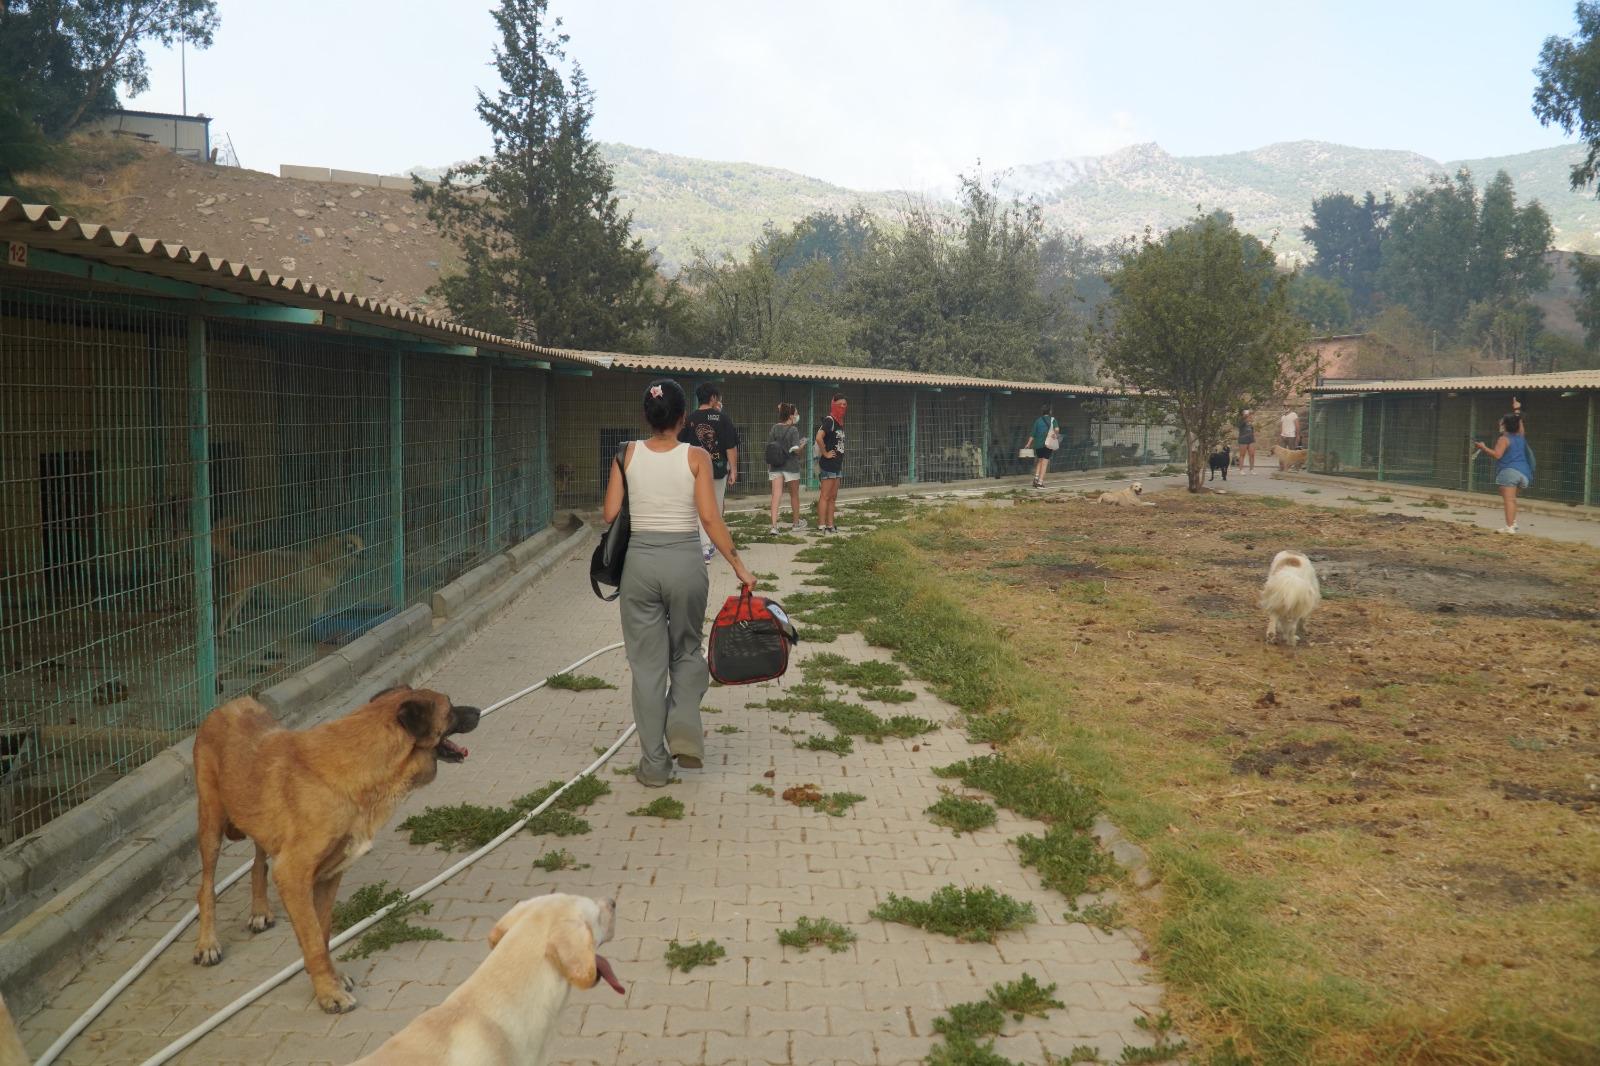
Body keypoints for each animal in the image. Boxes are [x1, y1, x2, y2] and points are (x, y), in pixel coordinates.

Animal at [194, 685, 480, 1011]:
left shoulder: (328, 875)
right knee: (206, 888)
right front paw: (328, 993)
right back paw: (208, 943)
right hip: (211, 823)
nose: (478, 712)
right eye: (450, 707)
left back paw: (260, 910)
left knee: (258, 862)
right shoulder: (293, 875)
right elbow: (314, 942)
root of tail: (227, 706)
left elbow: (322, 933)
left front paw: (329, 979)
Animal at [209, 515, 363, 630]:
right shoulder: (315, 597)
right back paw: (221, 634)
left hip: (246, 594)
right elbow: (315, 617)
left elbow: (321, 615)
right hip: (238, 594)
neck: (326, 561)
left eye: (362, 544)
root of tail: (241, 554)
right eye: (353, 545)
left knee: (234, 613)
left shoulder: (321, 598)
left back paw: (235, 629)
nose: (365, 552)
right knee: (224, 612)